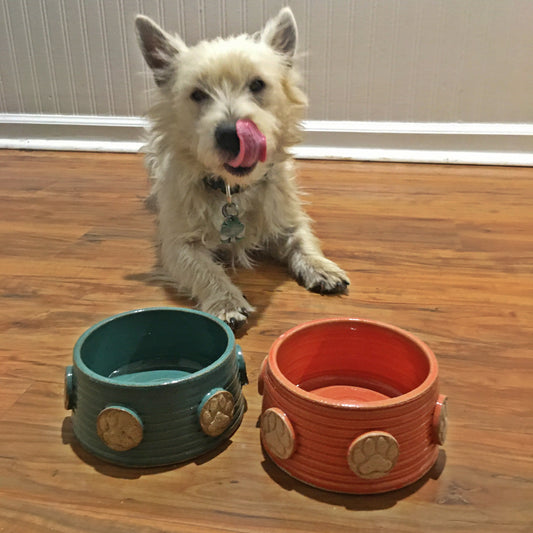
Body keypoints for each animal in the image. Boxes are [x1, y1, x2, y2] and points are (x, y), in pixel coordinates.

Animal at [135, 6, 348, 326]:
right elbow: (205, 270)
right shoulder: (178, 244)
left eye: (257, 84)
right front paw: (226, 301)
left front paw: (321, 266)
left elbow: (302, 239)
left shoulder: (286, 217)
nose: (230, 134)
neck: (232, 190)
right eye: (197, 94)